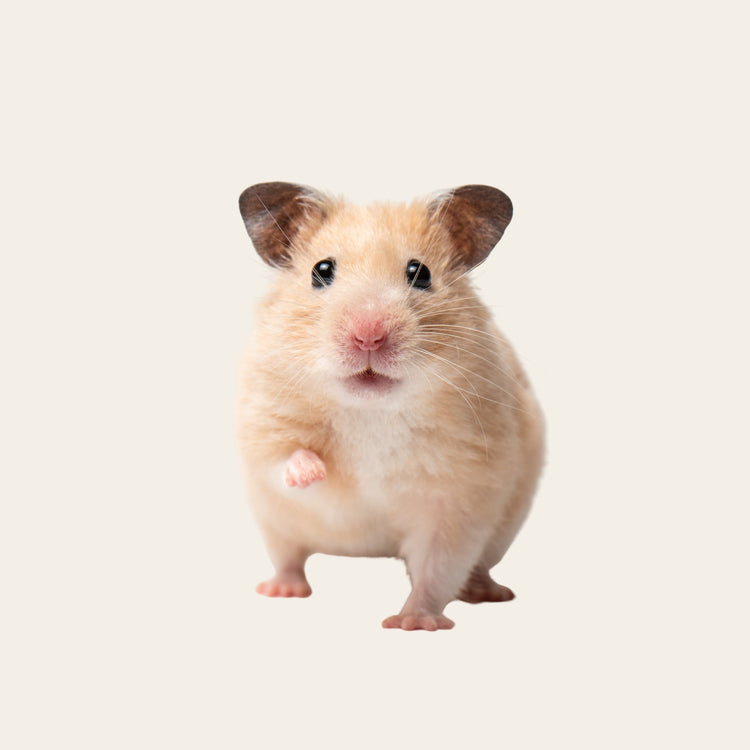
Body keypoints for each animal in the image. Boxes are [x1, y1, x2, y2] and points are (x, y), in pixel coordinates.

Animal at [237, 182, 544, 631]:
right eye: (321, 271)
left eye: (421, 273)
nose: (369, 336)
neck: (371, 411)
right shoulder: (262, 429)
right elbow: (283, 460)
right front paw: (312, 470)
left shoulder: (458, 499)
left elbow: (437, 568)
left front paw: (412, 623)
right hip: (276, 528)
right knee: (289, 558)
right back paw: (279, 590)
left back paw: (488, 593)